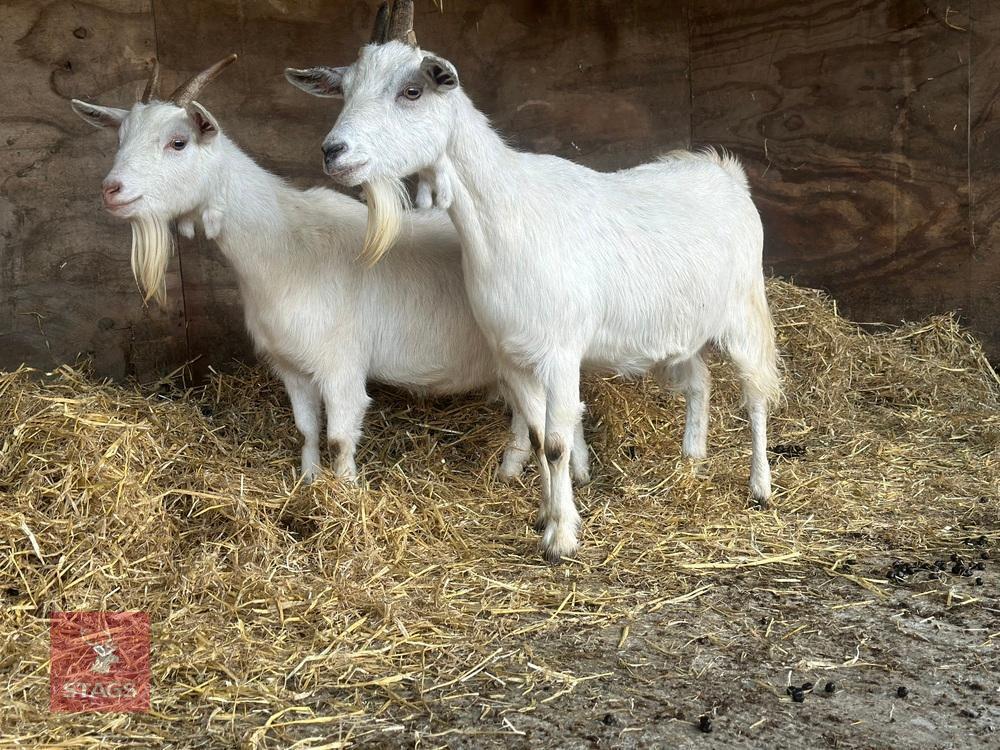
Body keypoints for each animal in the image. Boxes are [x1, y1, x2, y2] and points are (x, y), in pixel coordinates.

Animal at [70, 54, 590, 485]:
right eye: (119, 140)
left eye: (178, 142)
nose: (112, 190)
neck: (283, 246)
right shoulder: (291, 364)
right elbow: (305, 429)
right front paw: (310, 482)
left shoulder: (341, 363)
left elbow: (340, 435)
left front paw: (344, 492)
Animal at [286, 0, 781, 562]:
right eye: (345, 89)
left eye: (412, 90)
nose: (334, 152)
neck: (508, 216)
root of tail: (723, 171)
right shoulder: (513, 355)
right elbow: (542, 437)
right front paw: (547, 514)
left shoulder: (561, 354)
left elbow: (559, 442)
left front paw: (562, 539)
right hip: (679, 330)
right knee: (699, 380)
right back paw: (692, 459)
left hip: (745, 309)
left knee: (756, 393)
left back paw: (760, 487)